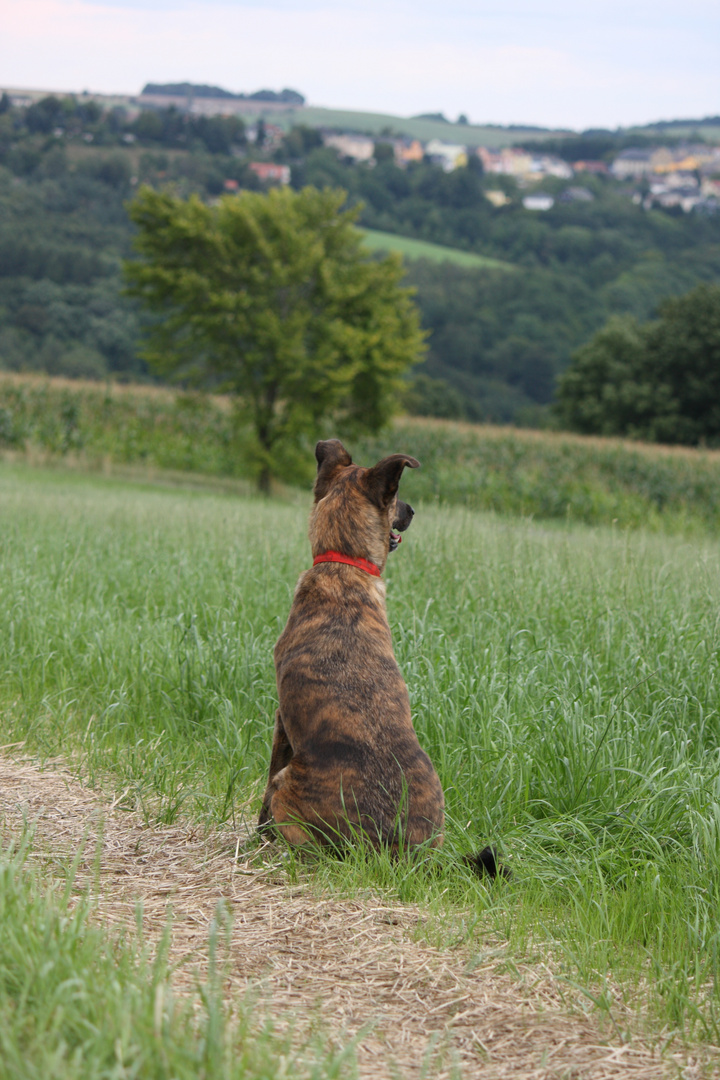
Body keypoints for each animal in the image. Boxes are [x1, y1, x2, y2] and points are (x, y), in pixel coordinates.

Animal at [255, 438, 442, 851]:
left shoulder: (281, 721)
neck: (344, 562)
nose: (412, 510)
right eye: (396, 498)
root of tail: (381, 842)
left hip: (287, 788)